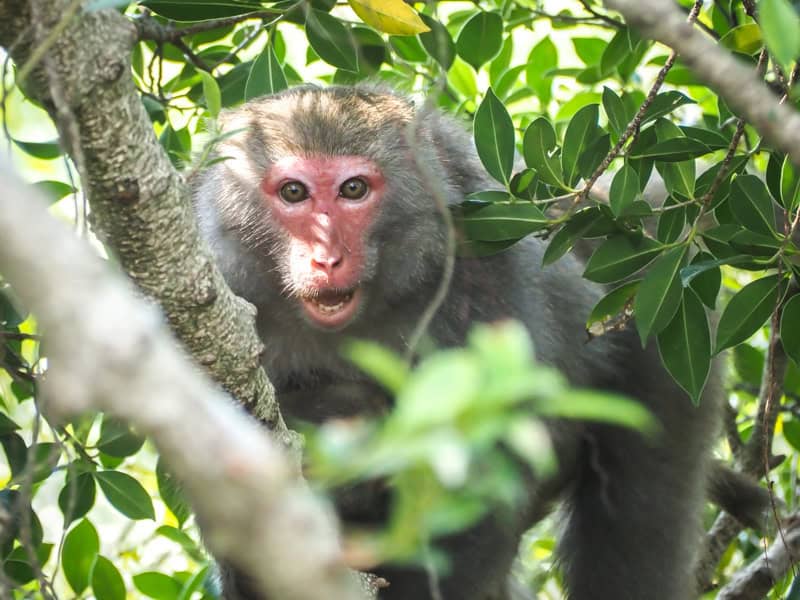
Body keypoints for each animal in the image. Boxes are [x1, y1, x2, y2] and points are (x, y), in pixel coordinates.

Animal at [193, 84, 761, 600]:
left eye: (353, 190)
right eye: (294, 193)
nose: (325, 257)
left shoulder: (485, 279)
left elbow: (483, 476)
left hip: (665, 339)